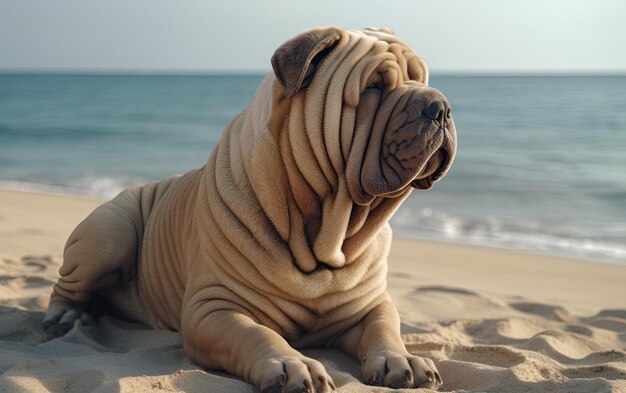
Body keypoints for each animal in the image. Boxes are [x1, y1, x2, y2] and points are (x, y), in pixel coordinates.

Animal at [44, 26, 454, 390]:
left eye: (422, 78)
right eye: (374, 86)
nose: (441, 107)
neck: (326, 231)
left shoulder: (371, 304)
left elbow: (385, 328)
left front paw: (400, 359)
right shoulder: (214, 308)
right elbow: (256, 334)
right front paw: (290, 364)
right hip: (109, 233)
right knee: (67, 286)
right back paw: (65, 315)